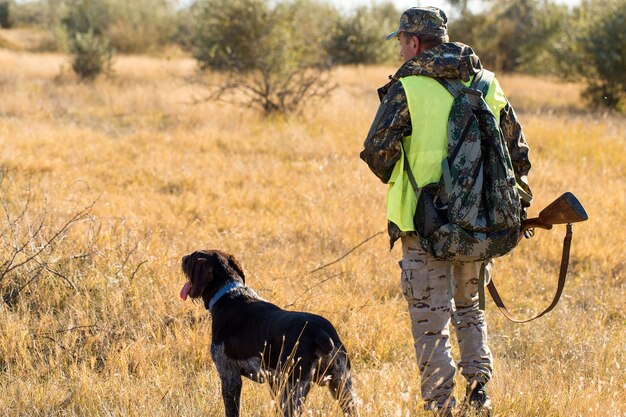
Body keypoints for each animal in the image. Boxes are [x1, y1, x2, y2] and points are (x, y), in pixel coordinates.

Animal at [178, 250, 358, 416]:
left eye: (192, 257)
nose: (182, 258)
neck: (229, 294)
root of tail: (322, 333)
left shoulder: (230, 376)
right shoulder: (274, 381)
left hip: (293, 390)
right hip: (342, 387)